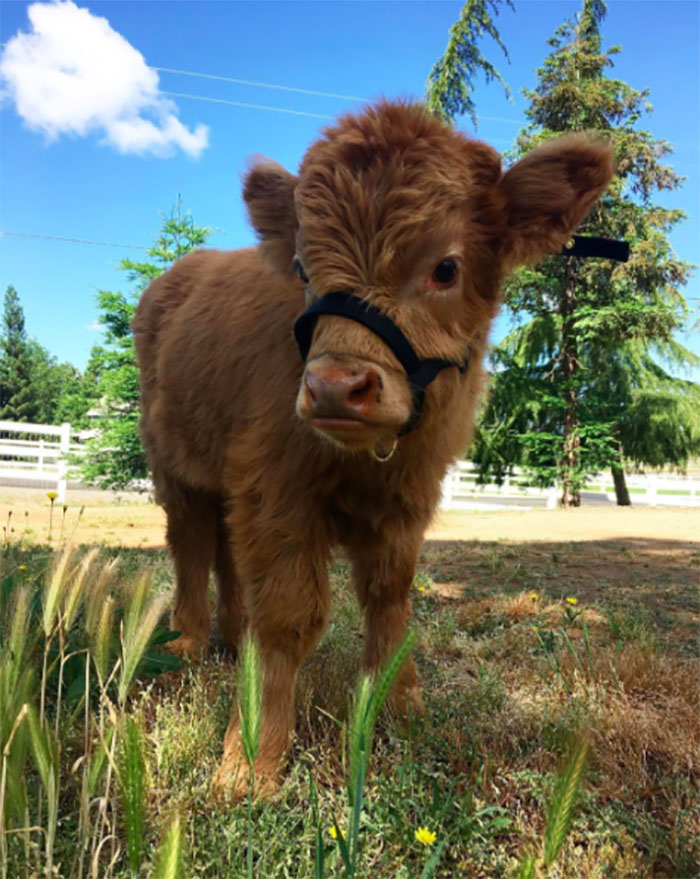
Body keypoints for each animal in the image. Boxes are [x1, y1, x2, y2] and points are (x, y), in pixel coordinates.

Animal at [133, 100, 613, 797]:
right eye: (304, 269)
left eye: (446, 267)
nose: (335, 386)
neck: (370, 458)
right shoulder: (276, 489)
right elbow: (290, 616)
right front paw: (251, 759)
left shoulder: (407, 502)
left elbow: (391, 602)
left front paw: (406, 710)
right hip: (175, 467)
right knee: (191, 544)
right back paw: (189, 643)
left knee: (222, 550)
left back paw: (231, 637)